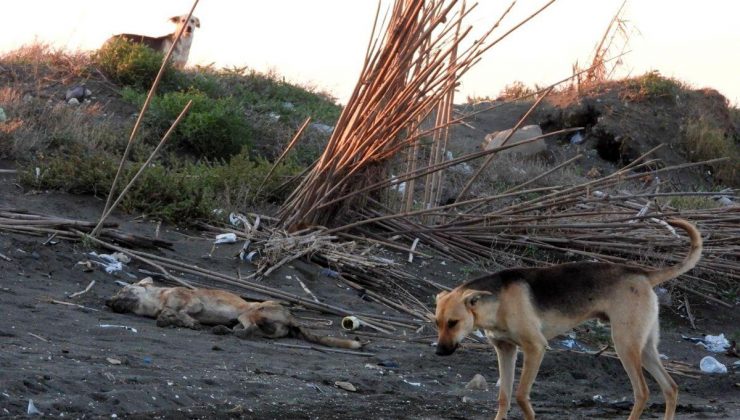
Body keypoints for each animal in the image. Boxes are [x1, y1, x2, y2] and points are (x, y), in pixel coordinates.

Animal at [108, 278, 362, 350]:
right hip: (251, 321)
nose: (106, 301)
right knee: (251, 332)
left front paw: (181, 320)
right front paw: (169, 320)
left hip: (249, 312)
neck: (157, 299)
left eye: (122, 289)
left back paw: (225, 331)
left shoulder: (194, 303)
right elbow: (170, 315)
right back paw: (221, 330)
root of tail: (292, 318)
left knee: (249, 331)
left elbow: (178, 312)